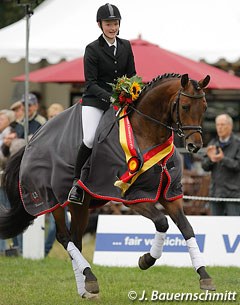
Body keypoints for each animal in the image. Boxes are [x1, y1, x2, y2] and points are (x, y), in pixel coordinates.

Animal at [0, 73, 214, 296]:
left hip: (80, 205)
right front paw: (146, 260)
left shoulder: (169, 195)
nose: (195, 146)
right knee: (64, 237)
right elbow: (162, 222)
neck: (146, 133)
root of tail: (31, 143)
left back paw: (85, 287)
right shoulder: (133, 197)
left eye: (205, 107)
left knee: (75, 239)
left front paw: (204, 276)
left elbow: (187, 228)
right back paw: (89, 279)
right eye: (185, 106)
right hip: (54, 201)